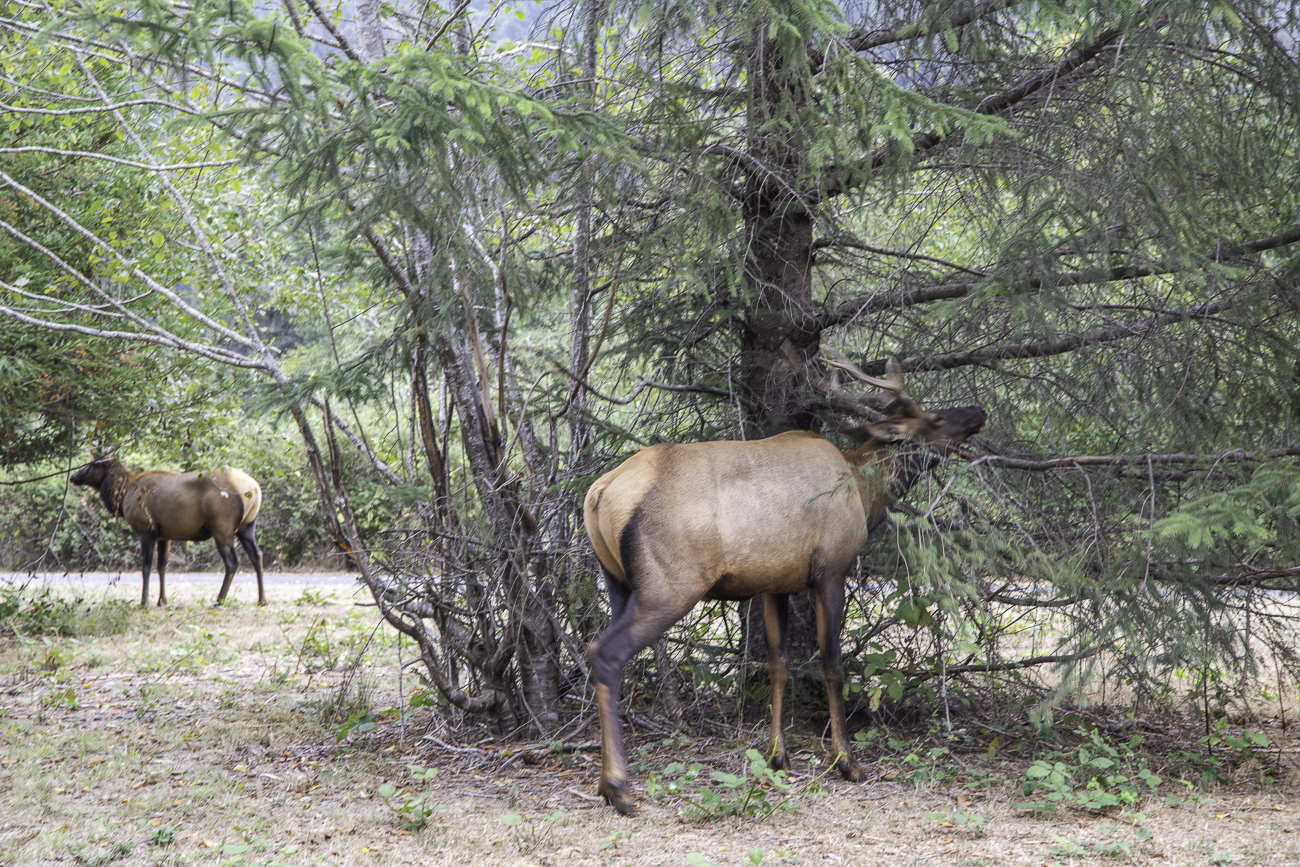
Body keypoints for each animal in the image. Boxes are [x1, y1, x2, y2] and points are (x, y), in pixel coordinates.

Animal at [71, 457, 266, 608]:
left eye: (91, 465)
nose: (73, 476)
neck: (123, 494)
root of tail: (255, 488)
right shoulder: (165, 535)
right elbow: (162, 567)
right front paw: (162, 600)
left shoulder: (146, 530)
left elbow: (146, 567)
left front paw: (144, 603)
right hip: (247, 527)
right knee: (257, 555)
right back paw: (262, 600)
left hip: (222, 526)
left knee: (233, 561)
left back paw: (219, 600)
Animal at [582, 358, 982, 816]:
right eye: (935, 419)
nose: (978, 412)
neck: (865, 493)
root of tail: (597, 494)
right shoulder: (830, 569)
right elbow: (832, 664)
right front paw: (846, 761)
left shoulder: (774, 582)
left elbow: (779, 664)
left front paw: (777, 755)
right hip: (669, 583)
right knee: (605, 652)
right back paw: (618, 787)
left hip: (617, 582)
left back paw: (608, 782)